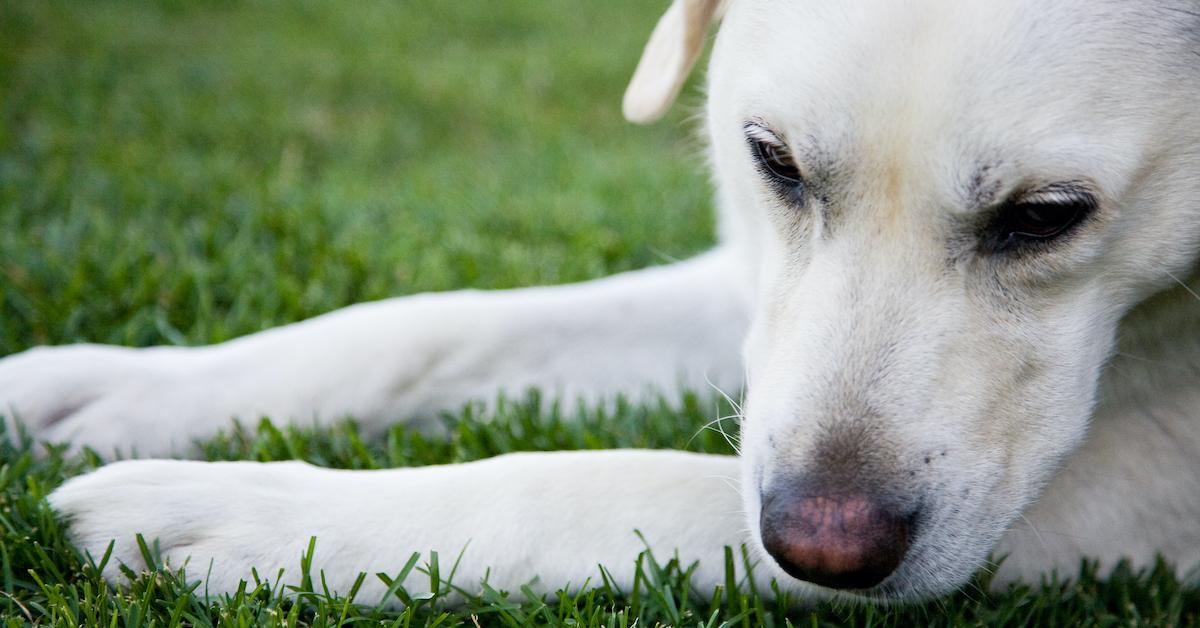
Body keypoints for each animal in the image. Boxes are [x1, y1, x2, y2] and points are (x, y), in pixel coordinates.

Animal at [2, 0, 1200, 607]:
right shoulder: (758, 307)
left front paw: (252, 516)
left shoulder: (1120, 509)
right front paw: (114, 393)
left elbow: (609, 484)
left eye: (1046, 215)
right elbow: (438, 324)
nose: (824, 546)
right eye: (772, 160)